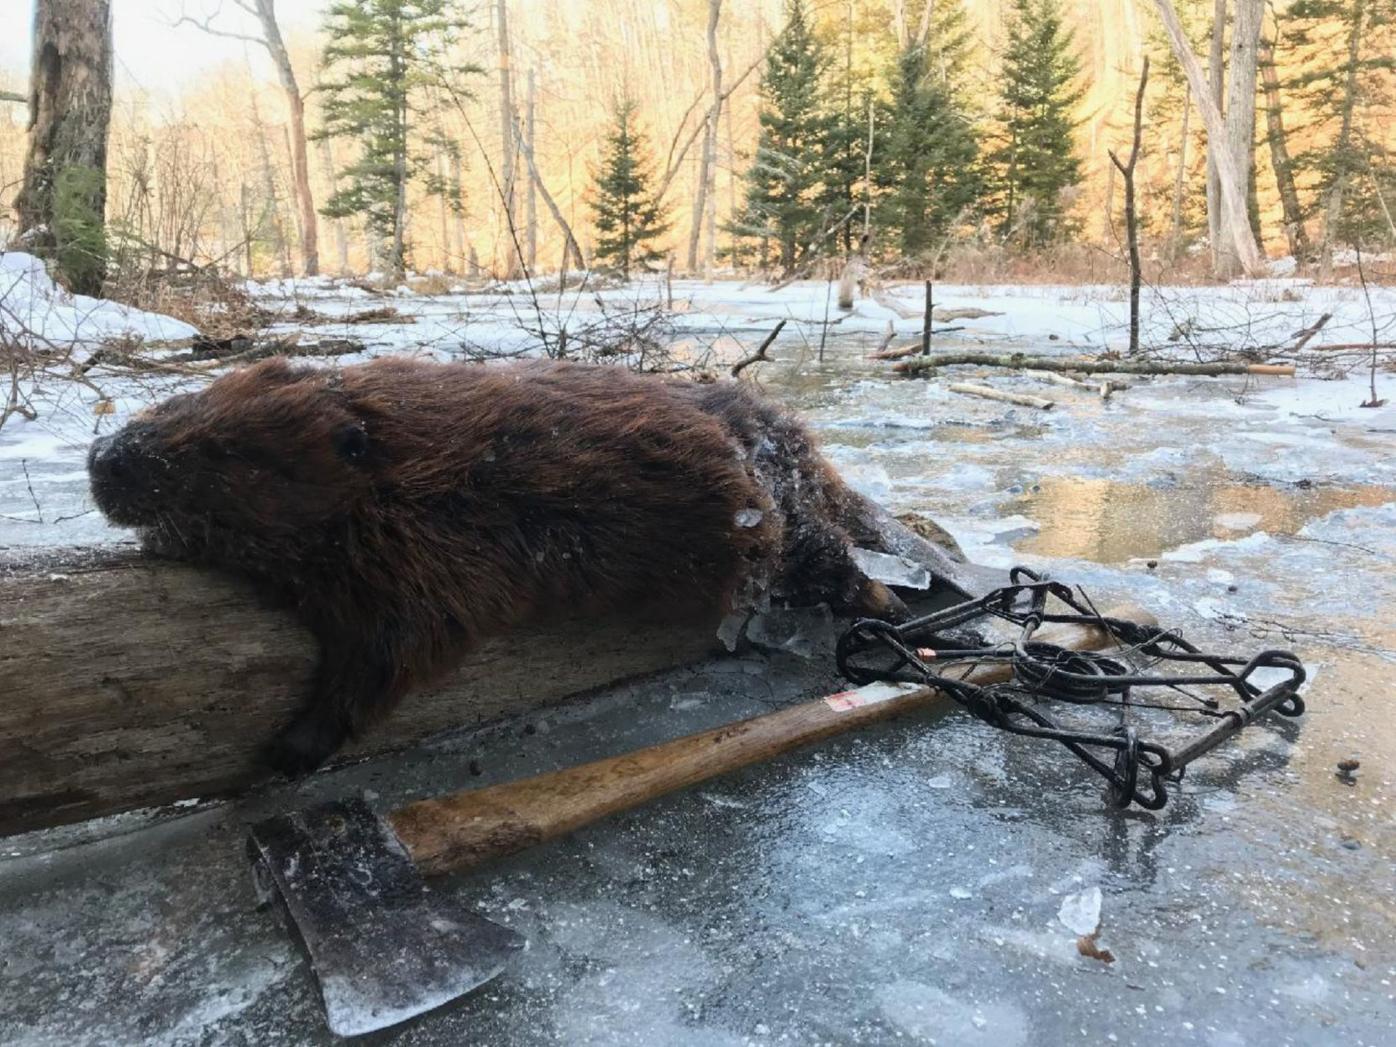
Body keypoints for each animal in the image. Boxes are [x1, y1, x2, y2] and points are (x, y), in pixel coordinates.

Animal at [87, 357, 915, 776]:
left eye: (228, 452)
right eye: (193, 397)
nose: (102, 457)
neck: (397, 462)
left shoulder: (438, 547)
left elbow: (399, 647)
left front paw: (288, 751)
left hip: (774, 523)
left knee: (826, 559)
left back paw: (893, 608)